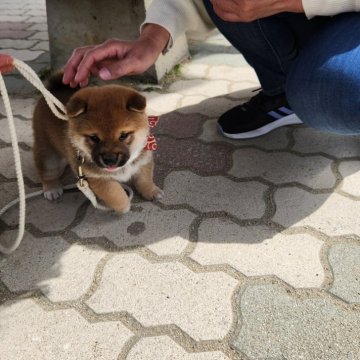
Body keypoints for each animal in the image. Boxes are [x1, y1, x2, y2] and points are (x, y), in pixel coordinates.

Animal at [33, 74, 162, 214]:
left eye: (123, 135)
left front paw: (152, 191)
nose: (110, 160)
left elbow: (145, 179)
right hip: (47, 154)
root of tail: (53, 88)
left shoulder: (143, 162)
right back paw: (52, 189)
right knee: (46, 173)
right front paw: (124, 206)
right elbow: (116, 194)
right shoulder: (96, 178)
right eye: (94, 138)